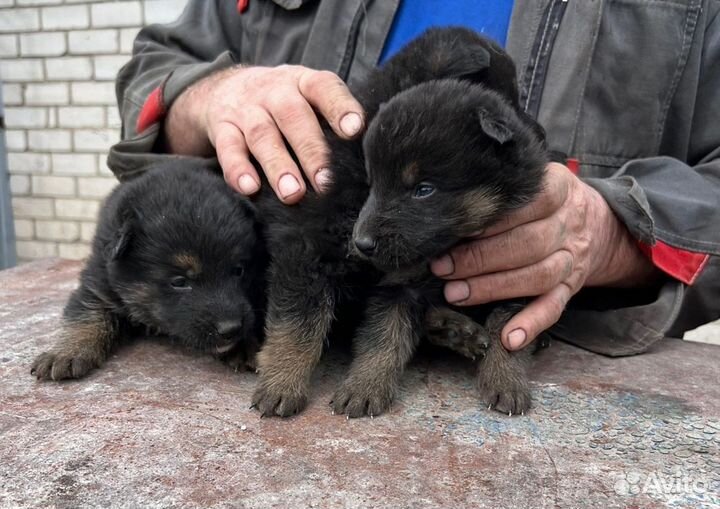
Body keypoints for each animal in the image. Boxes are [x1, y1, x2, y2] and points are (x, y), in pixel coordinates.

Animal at [31, 161, 266, 380]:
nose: (231, 328)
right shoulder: (98, 282)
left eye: (238, 271)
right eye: (179, 282)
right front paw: (66, 352)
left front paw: (244, 344)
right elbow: (85, 313)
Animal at [252, 26, 544, 416]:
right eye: (510, 93)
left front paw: (504, 376)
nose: (541, 139)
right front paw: (282, 380)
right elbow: (300, 323)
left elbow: (507, 327)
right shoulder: (308, 249)